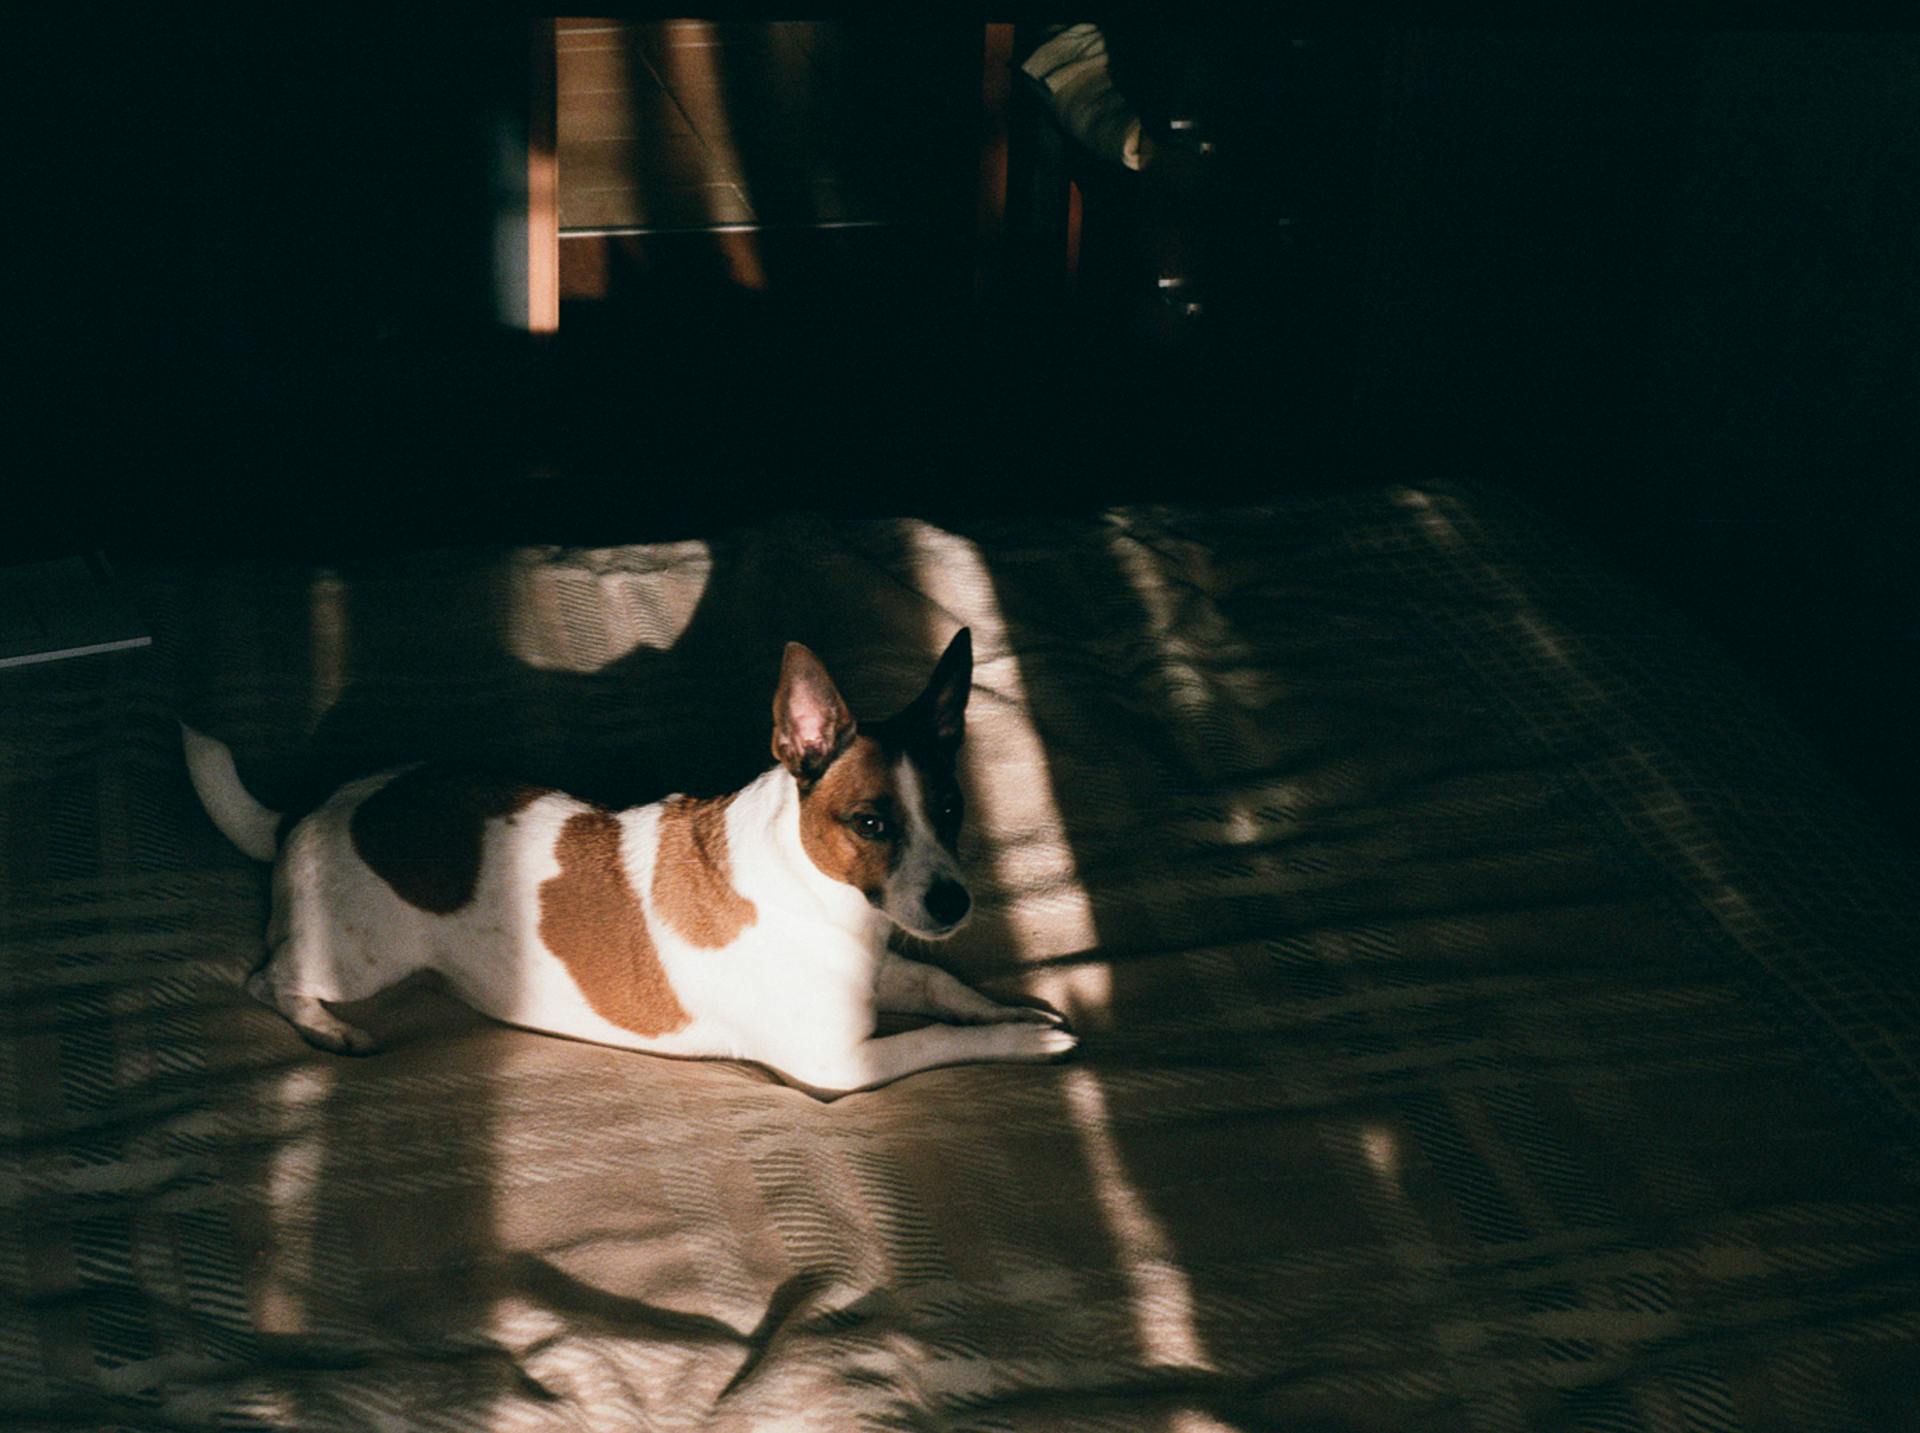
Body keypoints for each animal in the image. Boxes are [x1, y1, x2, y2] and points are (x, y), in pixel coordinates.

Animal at [180, 626, 1082, 1091]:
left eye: (953, 811)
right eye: (871, 823)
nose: (955, 903)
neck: (822, 897)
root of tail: (311, 809)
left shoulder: (884, 967)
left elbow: (939, 986)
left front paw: (1015, 1009)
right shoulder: (843, 1063)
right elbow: (935, 1039)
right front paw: (1023, 1041)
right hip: (360, 961)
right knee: (268, 979)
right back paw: (327, 1029)